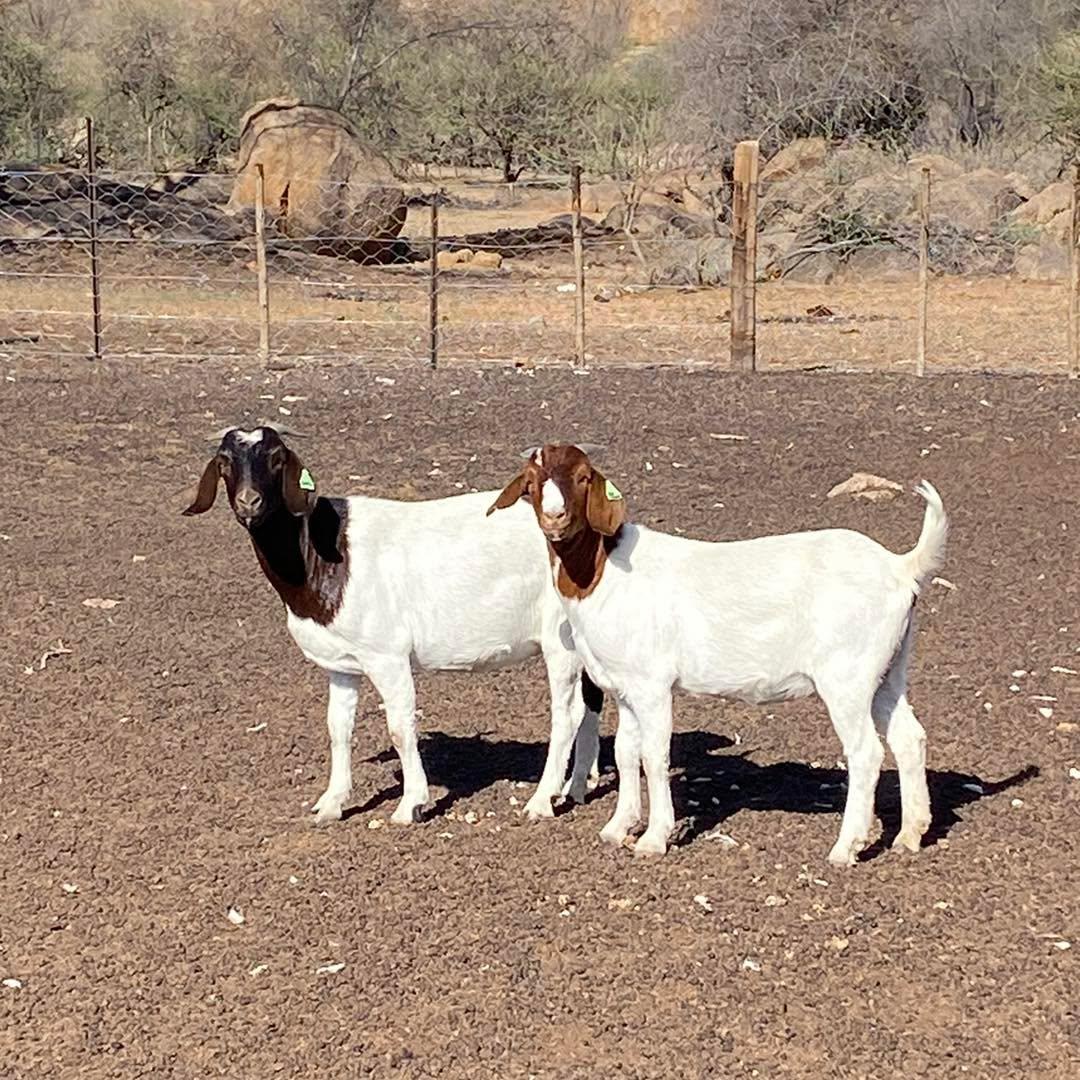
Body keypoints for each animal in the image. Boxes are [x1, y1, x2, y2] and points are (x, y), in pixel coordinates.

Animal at [184, 427, 602, 825]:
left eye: (276, 458)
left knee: (567, 714)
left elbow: (400, 728)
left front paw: (410, 805)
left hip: (560, 639)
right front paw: (331, 804)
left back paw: (542, 801)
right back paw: (578, 786)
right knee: (589, 704)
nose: (249, 502)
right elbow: (338, 728)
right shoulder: (342, 665)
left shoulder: (386, 655)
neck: (323, 554)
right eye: (224, 462)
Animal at [489, 444, 947, 865]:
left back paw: (845, 848)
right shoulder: (624, 686)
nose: (555, 518)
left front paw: (653, 838)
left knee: (866, 752)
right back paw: (910, 834)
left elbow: (655, 754)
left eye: (584, 477)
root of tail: (901, 567)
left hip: (847, 674)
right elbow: (625, 751)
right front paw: (618, 828)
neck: (602, 572)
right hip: (887, 670)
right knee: (909, 737)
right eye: (531, 483)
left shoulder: (652, 684)